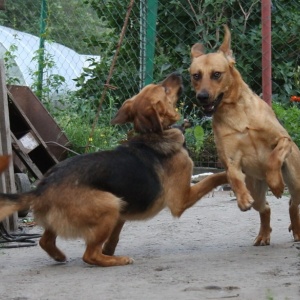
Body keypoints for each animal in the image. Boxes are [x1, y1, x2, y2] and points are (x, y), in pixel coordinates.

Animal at [0, 74, 226, 266]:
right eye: (164, 88)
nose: (177, 73)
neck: (153, 133)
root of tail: (42, 188)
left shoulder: (123, 208)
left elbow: (115, 233)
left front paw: (109, 249)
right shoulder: (180, 200)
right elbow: (212, 178)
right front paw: (228, 176)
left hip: (105, 206)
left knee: (45, 241)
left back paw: (61, 256)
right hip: (110, 203)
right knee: (89, 255)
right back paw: (117, 260)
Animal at [190, 25, 300, 246]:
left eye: (216, 74)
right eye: (196, 76)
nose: (202, 97)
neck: (236, 112)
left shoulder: (283, 140)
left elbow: (273, 158)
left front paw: (276, 184)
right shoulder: (230, 159)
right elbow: (233, 174)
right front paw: (241, 200)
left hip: (296, 180)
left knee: (293, 202)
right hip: (256, 190)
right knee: (265, 208)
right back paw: (264, 234)